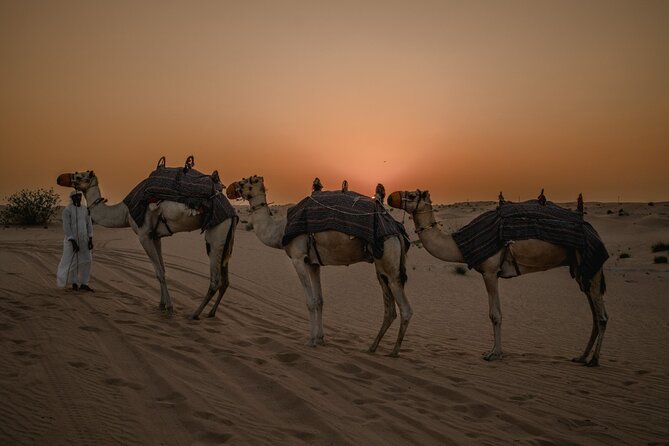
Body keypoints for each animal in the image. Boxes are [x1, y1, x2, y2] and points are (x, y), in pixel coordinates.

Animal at [56, 170, 237, 319]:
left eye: (80, 176)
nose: (59, 178)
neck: (125, 212)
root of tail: (233, 213)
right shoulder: (155, 236)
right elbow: (162, 270)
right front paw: (162, 304)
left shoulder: (143, 235)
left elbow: (159, 273)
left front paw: (169, 307)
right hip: (226, 239)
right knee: (226, 280)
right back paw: (211, 313)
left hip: (216, 234)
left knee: (215, 280)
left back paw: (195, 314)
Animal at [227, 176, 412, 356]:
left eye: (248, 181)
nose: (229, 189)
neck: (280, 231)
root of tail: (397, 231)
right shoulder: (313, 263)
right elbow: (319, 300)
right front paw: (320, 338)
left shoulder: (298, 258)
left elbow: (310, 301)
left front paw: (310, 340)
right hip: (381, 269)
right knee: (390, 309)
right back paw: (372, 347)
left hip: (390, 262)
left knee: (405, 309)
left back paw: (394, 351)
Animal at [387, 190, 609, 366]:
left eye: (412, 195)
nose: (390, 197)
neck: (461, 245)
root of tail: (593, 231)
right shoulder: (492, 273)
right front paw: (493, 351)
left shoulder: (490, 271)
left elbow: (495, 314)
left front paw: (494, 354)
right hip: (581, 272)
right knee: (594, 314)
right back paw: (581, 357)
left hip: (591, 266)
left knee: (602, 316)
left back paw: (594, 360)